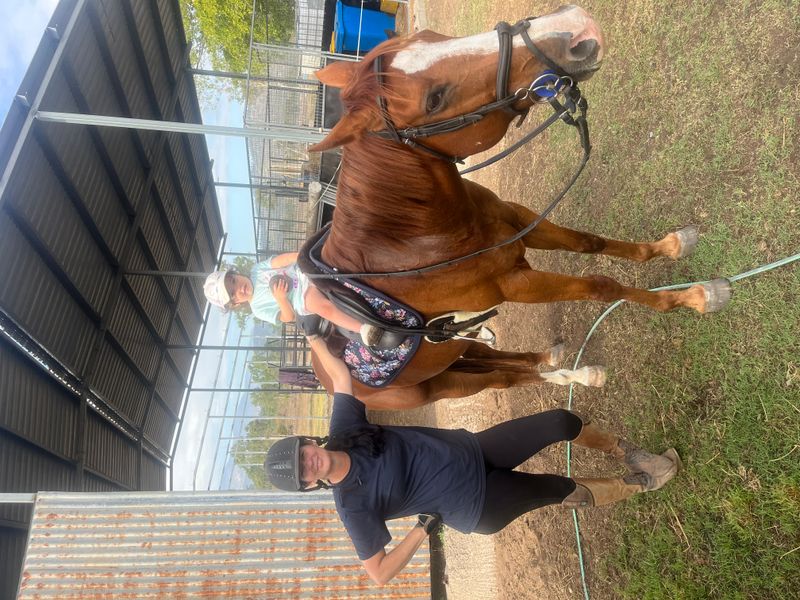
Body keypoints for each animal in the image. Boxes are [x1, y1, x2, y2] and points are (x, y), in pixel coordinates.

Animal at [304, 5, 730, 410]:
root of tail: (326, 375)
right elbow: (600, 287)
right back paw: (578, 376)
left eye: (431, 36)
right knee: (503, 378)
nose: (576, 27)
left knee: (506, 360)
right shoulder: (516, 284)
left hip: (459, 349)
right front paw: (693, 298)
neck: (417, 240)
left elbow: (589, 243)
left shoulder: (522, 222)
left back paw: (560, 363)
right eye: (435, 99)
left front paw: (671, 246)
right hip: (442, 385)